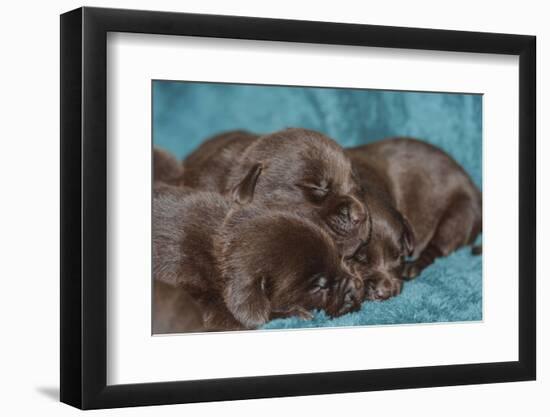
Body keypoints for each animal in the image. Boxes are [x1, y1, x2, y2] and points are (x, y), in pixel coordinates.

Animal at [350, 139, 484, 300]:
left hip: (458, 217)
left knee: (435, 249)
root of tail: (477, 193)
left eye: (399, 255)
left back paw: (412, 267)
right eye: (360, 258)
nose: (385, 292)